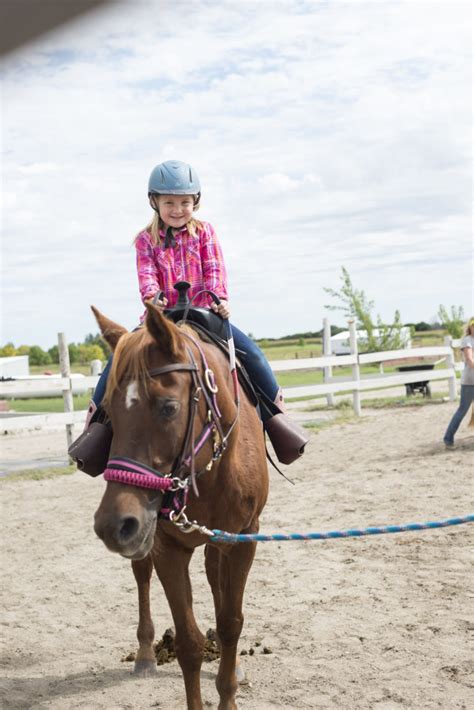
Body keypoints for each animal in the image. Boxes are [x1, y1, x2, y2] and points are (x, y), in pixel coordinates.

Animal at [91, 304, 268, 710]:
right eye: (108, 411)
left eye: (169, 407)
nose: (113, 525)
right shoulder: (166, 546)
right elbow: (188, 643)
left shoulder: (243, 538)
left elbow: (231, 622)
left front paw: (229, 691)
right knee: (141, 574)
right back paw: (144, 654)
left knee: (214, 578)